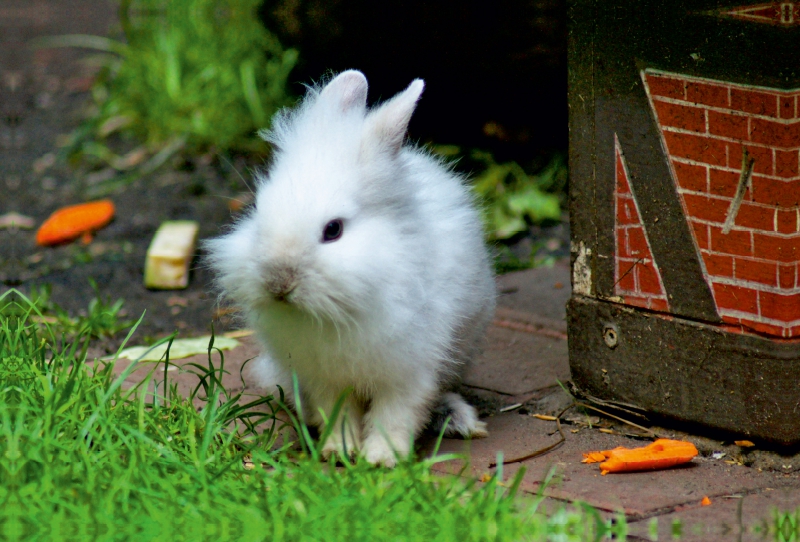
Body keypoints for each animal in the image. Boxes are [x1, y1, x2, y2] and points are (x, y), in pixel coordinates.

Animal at [205, 69, 494, 468]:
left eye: (333, 230)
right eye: (259, 213)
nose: (278, 282)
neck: (335, 312)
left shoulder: (408, 371)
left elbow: (395, 414)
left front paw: (381, 459)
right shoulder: (322, 377)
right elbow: (337, 413)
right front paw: (338, 452)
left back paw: (457, 420)